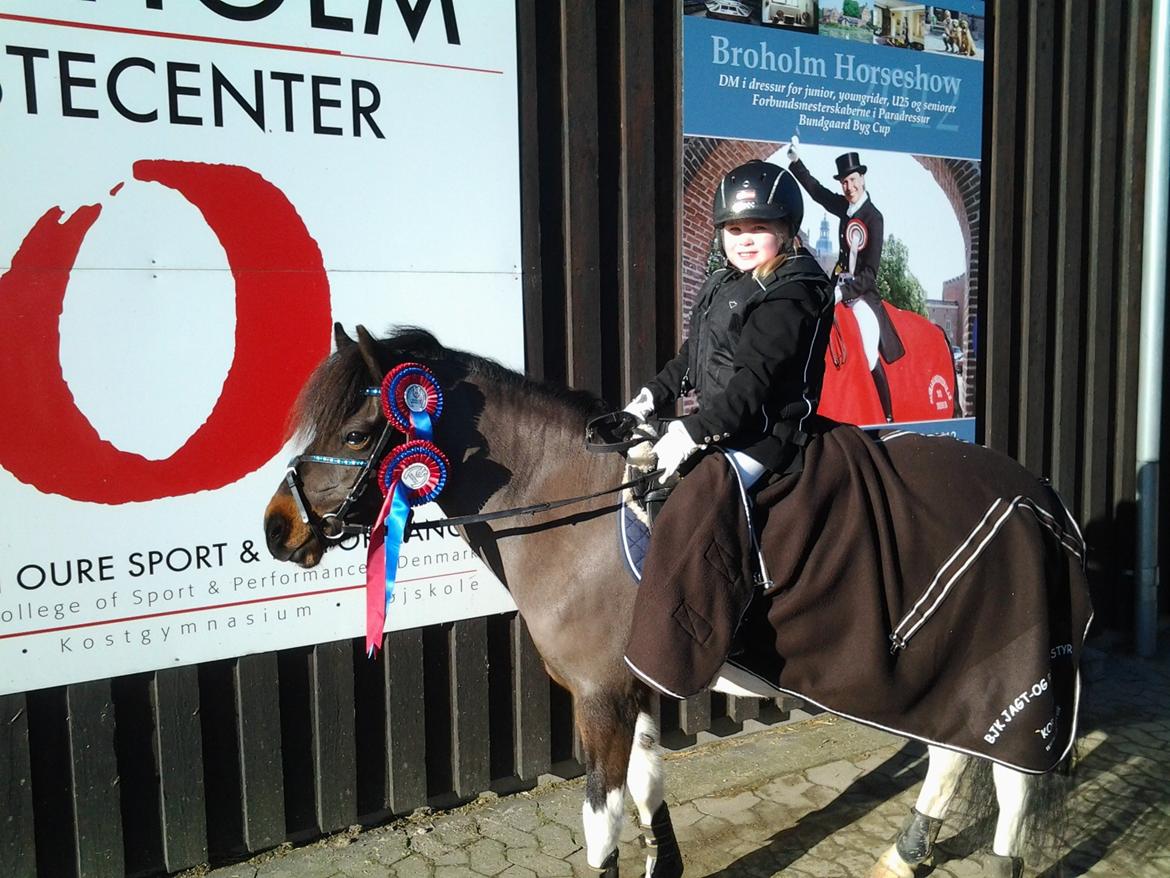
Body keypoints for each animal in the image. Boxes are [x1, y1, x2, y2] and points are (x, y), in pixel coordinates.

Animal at [265, 325, 1085, 878]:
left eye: (360, 432)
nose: (278, 528)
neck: (575, 510)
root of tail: (1038, 495)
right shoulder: (634, 685)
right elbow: (648, 783)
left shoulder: (601, 697)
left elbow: (602, 816)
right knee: (953, 755)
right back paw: (907, 852)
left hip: (1003, 667)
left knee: (1011, 777)